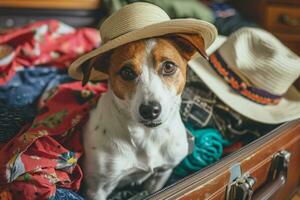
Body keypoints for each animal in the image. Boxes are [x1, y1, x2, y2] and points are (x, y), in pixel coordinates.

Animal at [81, 33, 209, 199]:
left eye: (169, 66)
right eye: (126, 72)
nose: (150, 110)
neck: (148, 135)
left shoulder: (162, 174)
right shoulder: (97, 189)